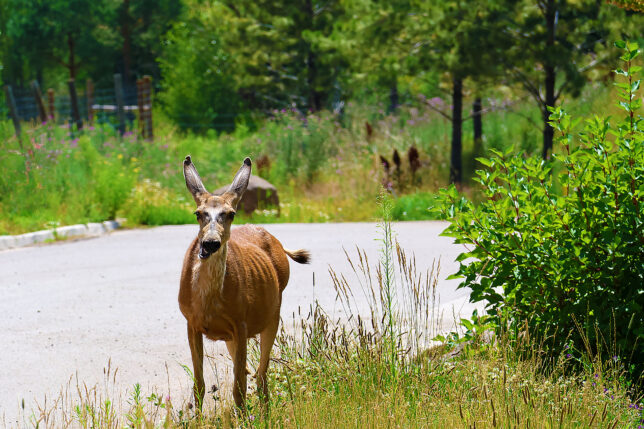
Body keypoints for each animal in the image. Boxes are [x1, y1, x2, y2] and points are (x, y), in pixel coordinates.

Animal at [178, 156, 310, 409]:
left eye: (231, 213)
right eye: (198, 213)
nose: (210, 243)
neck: (207, 303)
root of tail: (279, 244)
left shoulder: (241, 322)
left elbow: (238, 388)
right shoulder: (192, 323)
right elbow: (199, 386)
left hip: (272, 315)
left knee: (261, 374)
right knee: (251, 372)